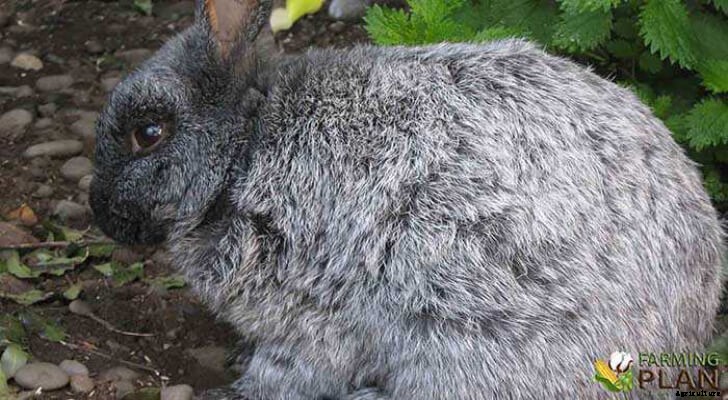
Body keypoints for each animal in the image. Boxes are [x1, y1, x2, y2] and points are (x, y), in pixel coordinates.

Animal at [89, 0, 726, 398]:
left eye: (149, 132)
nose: (101, 215)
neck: (242, 149)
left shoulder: (305, 313)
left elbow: (292, 373)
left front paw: (237, 389)